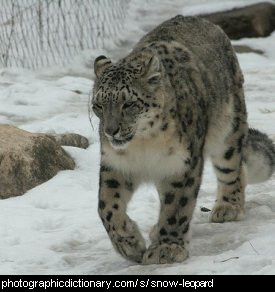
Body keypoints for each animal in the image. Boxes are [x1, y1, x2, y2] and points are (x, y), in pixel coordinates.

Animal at [90, 14, 275, 264]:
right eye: (98, 105)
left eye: (128, 104)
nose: (110, 131)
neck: (143, 144)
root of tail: (200, 19)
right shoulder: (116, 165)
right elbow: (107, 206)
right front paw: (130, 245)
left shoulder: (182, 164)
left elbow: (177, 206)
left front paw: (166, 248)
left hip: (227, 129)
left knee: (232, 169)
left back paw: (228, 207)